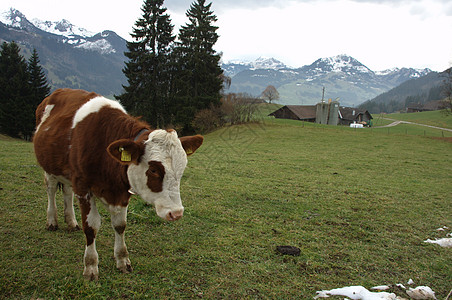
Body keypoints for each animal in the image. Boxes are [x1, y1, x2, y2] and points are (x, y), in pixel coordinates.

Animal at [34, 88, 204, 280]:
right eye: (153, 170)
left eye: (182, 168)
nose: (176, 213)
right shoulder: (83, 186)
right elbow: (91, 227)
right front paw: (90, 266)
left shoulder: (121, 192)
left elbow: (120, 225)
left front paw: (122, 260)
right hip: (49, 167)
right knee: (51, 189)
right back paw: (52, 221)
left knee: (67, 192)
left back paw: (71, 222)